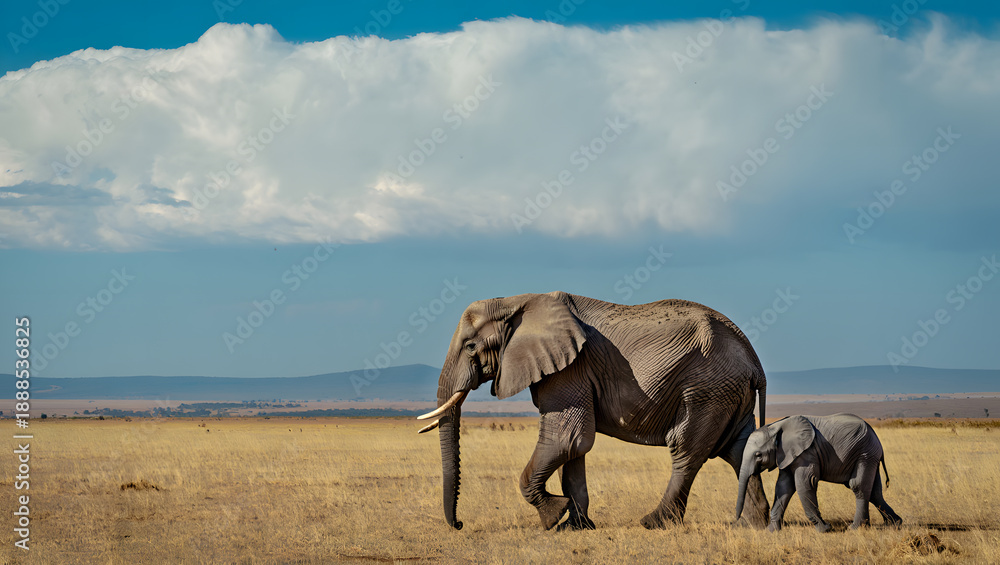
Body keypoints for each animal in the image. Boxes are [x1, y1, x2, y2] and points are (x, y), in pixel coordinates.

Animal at [416, 291, 771, 531]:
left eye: (470, 347)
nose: (459, 525)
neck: (517, 301)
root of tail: (753, 358)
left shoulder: (569, 370)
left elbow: (566, 439)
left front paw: (552, 518)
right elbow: (574, 448)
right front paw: (575, 526)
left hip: (706, 389)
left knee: (686, 451)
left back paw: (653, 522)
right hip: (727, 392)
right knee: (738, 449)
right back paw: (752, 525)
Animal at [735, 413, 903, 532]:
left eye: (758, 455)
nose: (737, 520)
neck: (777, 426)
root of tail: (876, 437)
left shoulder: (807, 453)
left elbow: (805, 483)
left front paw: (825, 529)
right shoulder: (787, 455)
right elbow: (783, 487)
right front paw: (772, 531)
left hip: (865, 454)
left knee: (858, 486)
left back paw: (855, 528)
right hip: (870, 456)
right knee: (875, 492)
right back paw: (894, 525)